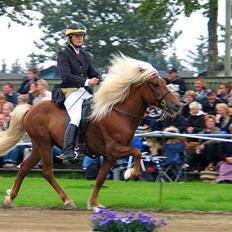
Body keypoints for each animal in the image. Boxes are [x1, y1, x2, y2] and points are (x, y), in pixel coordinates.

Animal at [0, 54, 179, 210]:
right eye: (155, 84)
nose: (176, 105)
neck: (118, 113)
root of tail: (30, 109)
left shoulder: (110, 156)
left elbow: (100, 179)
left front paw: (94, 203)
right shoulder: (114, 149)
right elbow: (137, 152)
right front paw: (130, 173)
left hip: (40, 145)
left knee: (25, 167)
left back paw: (10, 198)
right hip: (43, 143)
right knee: (47, 172)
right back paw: (67, 201)